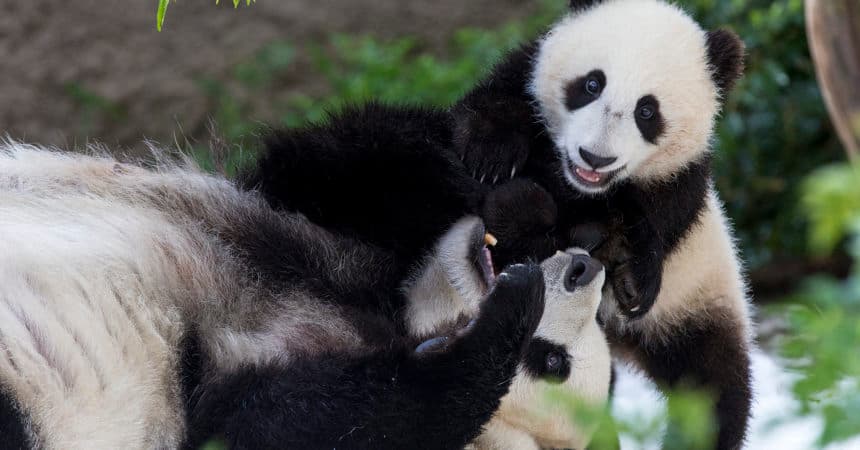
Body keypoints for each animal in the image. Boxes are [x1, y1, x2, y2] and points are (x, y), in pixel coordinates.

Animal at [0, 143, 611, 449]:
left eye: (548, 362)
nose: (585, 269)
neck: (382, 311)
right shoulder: (326, 229)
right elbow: (343, 168)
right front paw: (525, 197)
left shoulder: (214, 405)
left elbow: (326, 422)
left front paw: (509, 314)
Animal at [247, 1, 753, 448]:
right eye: (591, 84)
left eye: (647, 111)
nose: (594, 157)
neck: (573, 184)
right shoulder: (511, 90)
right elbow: (484, 120)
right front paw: (496, 166)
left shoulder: (677, 191)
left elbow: (644, 228)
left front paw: (624, 267)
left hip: (702, 301)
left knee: (718, 388)